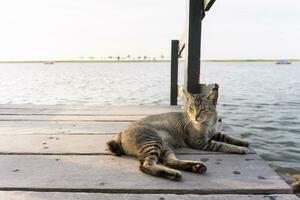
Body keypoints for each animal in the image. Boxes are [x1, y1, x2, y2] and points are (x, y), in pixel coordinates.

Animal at [106, 85, 250, 180]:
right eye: (191, 108)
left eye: (203, 109)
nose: (195, 117)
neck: (208, 123)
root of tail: (121, 132)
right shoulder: (201, 142)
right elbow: (223, 145)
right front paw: (240, 149)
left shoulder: (213, 133)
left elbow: (226, 136)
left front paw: (242, 142)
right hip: (153, 141)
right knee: (145, 166)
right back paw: (173, 173)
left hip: (164, 146)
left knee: (169, 161)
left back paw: (195, 167)